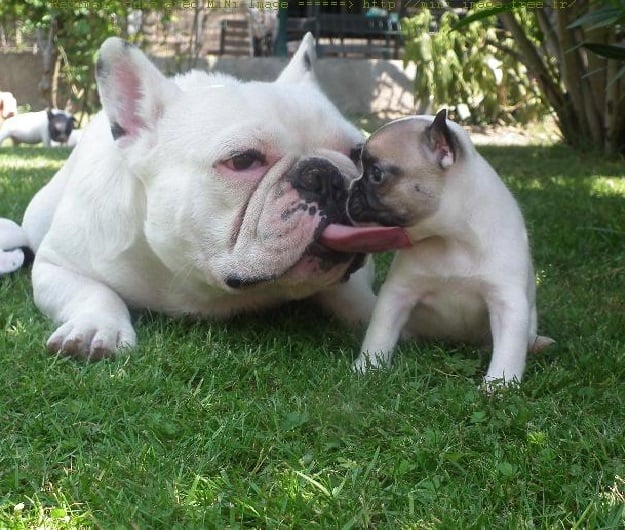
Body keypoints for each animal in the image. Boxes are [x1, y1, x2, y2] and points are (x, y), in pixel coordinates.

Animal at [344, 109, 552, 382]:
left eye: (376, 174)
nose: (350, 188)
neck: (450, 239)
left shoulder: (506, 302)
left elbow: (509, 350)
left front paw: (499, 383)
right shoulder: (398, 293)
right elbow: (379, 333)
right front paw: (367, 367)